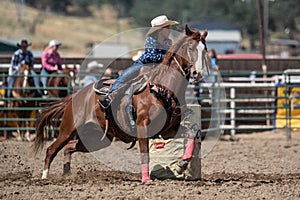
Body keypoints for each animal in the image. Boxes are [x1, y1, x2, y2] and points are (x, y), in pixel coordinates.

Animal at [32, 24, 206, 182]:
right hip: (67, 129)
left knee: (69, 147)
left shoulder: (169, 130)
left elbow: (191, 135)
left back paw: (67, 173)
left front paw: (181, 165)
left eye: (205, 50)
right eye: (191, 47)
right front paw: (146, 179)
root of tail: (75, 96)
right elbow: (145, 154)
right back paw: (44, 177)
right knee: (51, 149)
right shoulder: (143, 127)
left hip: (97, 138)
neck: (161, 90)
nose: (198, 73)